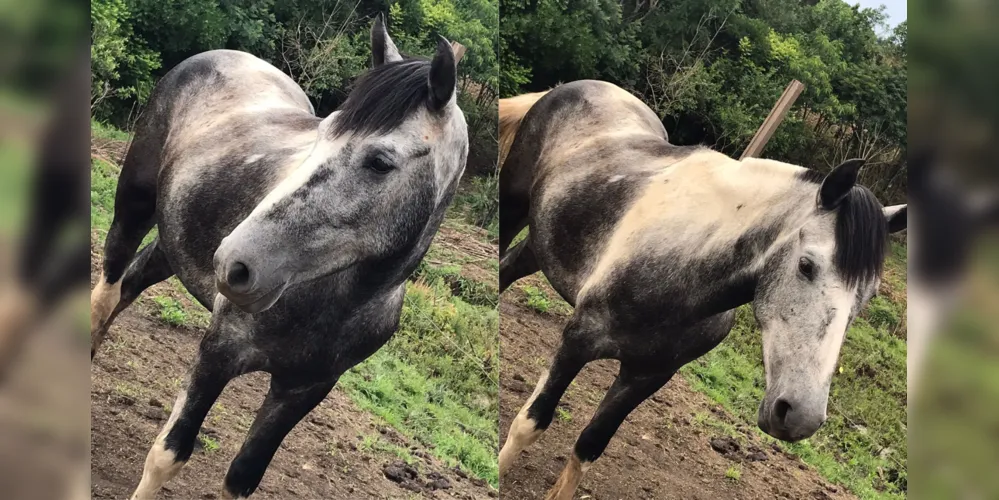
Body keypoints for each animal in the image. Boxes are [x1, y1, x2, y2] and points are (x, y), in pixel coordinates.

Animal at [496, 80, 912, 498]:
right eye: (806, 265)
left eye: (868, 295)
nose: (799, 416)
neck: (686, 271)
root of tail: (571, 88)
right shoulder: (578, 341)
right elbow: (532, 421)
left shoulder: (646, 376)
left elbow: (590, 446)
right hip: (514, 205)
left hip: (543, 243)